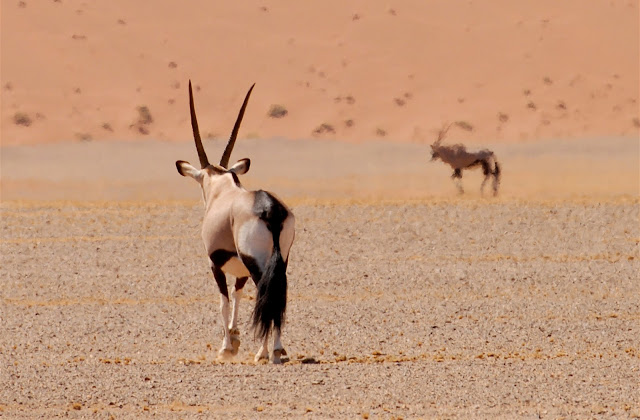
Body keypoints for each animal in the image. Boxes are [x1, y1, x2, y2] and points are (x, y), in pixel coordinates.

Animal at [175, 81, 296, 364]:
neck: (223, 188)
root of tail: (269, 208)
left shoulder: (216, 264)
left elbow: (224, 301)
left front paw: (226, 347)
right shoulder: (240, 272)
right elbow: (238, 296)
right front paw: (234, 336)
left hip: (257, 264)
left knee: (265, 295)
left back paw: (265, 352)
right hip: (280, 261)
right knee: (278, 295)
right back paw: (276, 349)